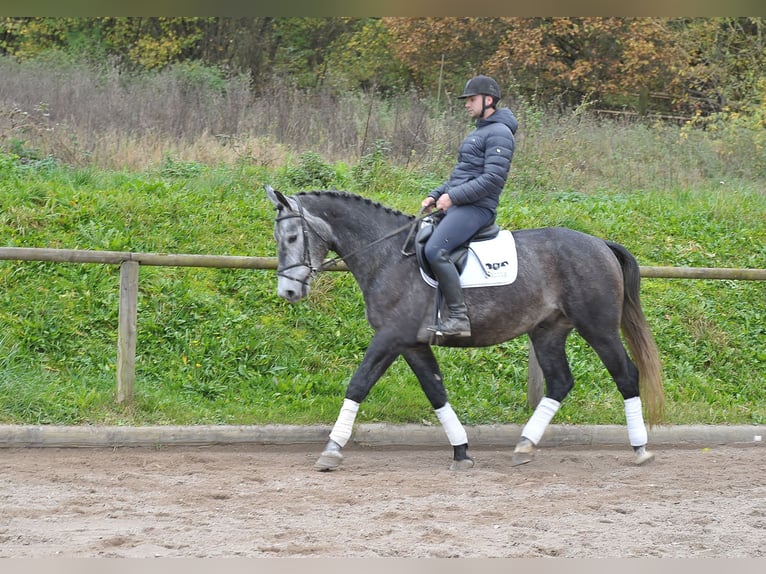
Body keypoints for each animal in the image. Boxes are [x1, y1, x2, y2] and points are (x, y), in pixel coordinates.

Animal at [268, 187, 664, 474]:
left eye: (291, 238)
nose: (288, 292)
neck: (388, 256)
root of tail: (600, 244)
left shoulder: (390, 338)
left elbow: (358, 385)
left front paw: (331, 450)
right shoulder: (412, 344)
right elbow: (436, 392)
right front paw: (461, 451)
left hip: (598, 328)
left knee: (626, 375)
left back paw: (641, 448)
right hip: (547, 331)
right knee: (560, 382)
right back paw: (524, 445)